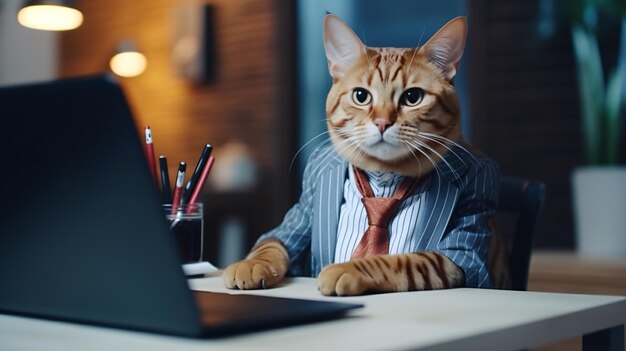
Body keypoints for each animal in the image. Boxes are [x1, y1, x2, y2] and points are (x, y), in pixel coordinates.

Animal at [223, 13, 508, 296]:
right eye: (361, 96)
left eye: (412, 97)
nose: (382, 122)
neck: (382, 174)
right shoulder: (295, 222)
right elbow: (271, 243)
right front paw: (251, 264)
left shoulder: (459, 252)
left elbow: (399, 262)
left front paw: (347, 268)